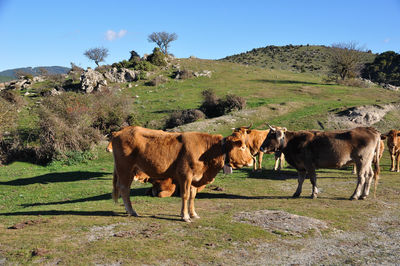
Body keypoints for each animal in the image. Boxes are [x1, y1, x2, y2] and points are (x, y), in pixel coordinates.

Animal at [109, 125, 253, 221]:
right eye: (243, 147)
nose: (252, 160)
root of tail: (120, 131)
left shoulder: (195, 178)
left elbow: (192, 196)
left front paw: (193, 214)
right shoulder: (185, 175)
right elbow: (185, 195)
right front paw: (185, 216)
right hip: (125, 168)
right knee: (124, 188)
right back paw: (131, 211)